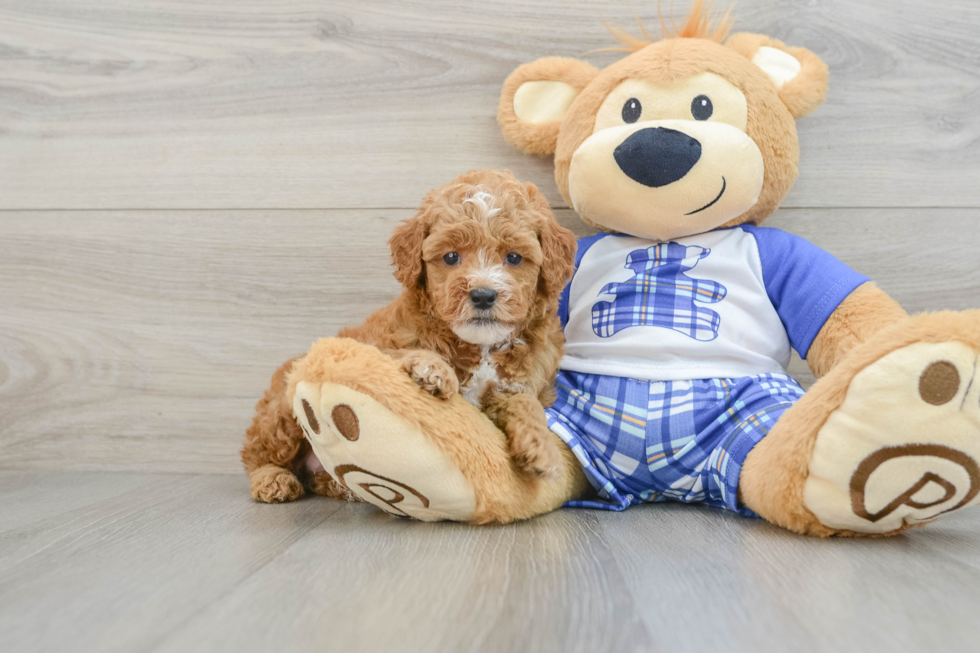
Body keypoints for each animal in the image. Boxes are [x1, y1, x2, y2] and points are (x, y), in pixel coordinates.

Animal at [242, 169, 580, 504]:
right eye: (451, 257)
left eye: (513, 258)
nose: (483, 295)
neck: (479, 346)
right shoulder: (372, 344)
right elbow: (395, 353)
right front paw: (433, 370)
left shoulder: (519, 383)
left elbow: (525, 402)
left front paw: (542, 449)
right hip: (281, 415)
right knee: (255, 451)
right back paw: (272, 479)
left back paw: (340, 486)